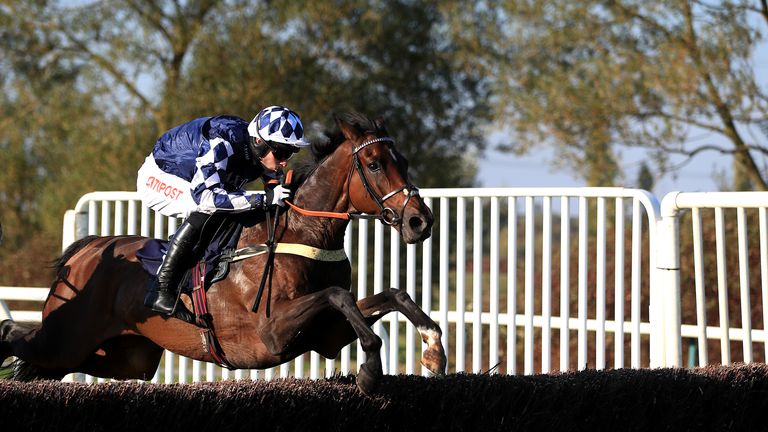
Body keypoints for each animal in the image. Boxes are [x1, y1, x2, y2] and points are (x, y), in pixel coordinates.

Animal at [0, 112, 448, 394]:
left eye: (403, 160)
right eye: (373, 164)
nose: (420, 221)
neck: (302, 232)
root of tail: (88, 250)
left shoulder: (325, 336)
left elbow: (390, 296)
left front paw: (433, 350)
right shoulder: (271, 333)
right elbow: (339, 296)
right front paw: (370, 374)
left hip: (126, 357)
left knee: (49, 367)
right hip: (66, 336)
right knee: (18, 340)